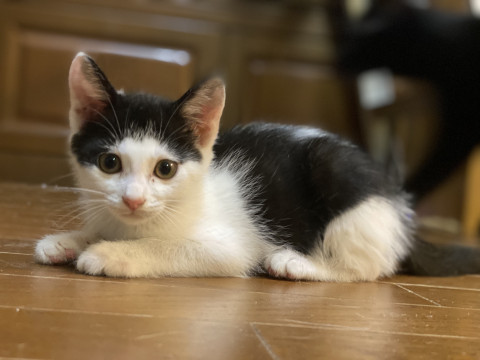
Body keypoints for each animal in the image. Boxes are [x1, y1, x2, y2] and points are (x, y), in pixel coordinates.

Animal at [34, 52, 480, 280]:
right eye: (109, 162)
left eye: (165, 170)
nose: (133, 201)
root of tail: (397, 208)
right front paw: (71, 240)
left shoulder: (231, 246)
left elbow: (173, 247)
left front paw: (110, 253)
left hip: (338, 177)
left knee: (369, 268)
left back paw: (297, 263)